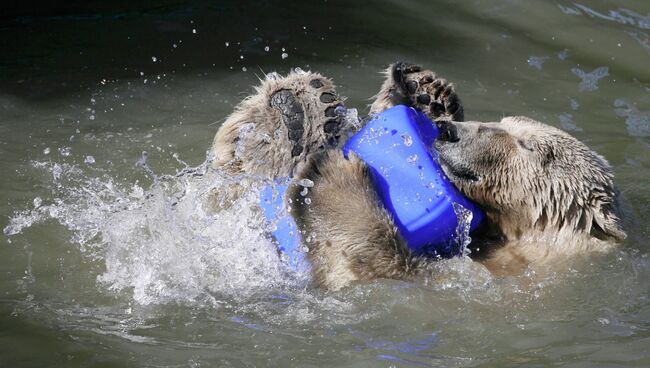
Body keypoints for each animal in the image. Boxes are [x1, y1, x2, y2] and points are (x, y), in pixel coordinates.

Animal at [208, 61, 624, 290]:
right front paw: (426, 94)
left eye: (527, 145)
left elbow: (365, 268)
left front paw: (334, 178)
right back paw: (297, 111)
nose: (451, 132)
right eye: (503, 122)